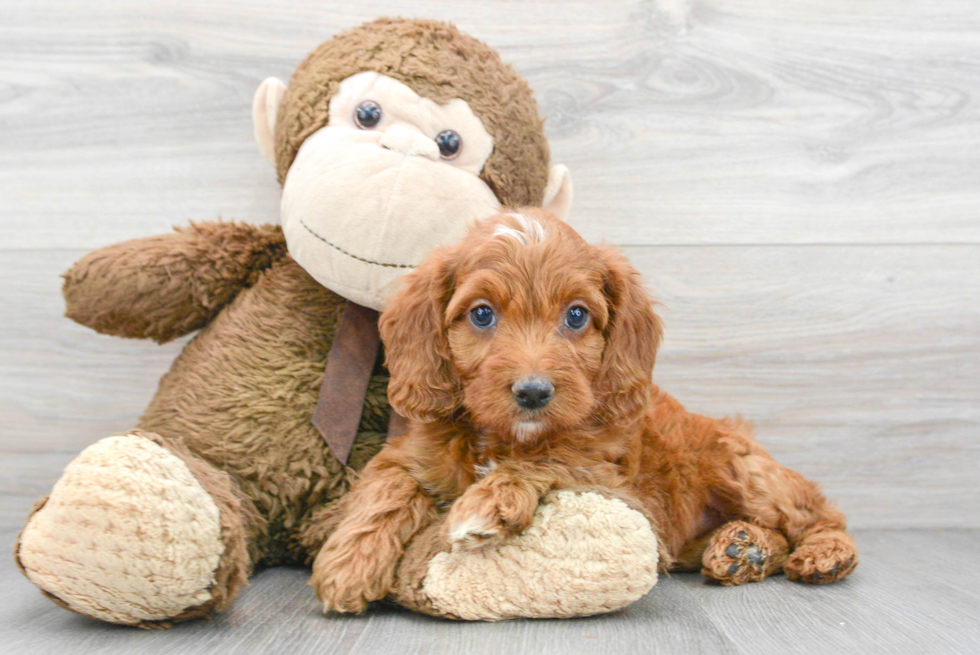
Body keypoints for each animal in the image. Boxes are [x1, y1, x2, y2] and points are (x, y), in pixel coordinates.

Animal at [310, 209, 852, 616]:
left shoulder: (608, 476)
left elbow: (546, 460)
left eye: (576, 315)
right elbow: (388, 484)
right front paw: (349, 563)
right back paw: (741, 549)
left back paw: (821, 553)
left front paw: (487, 501)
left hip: (740, 468)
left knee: (819, 514)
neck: (509, 434)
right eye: (482, 313)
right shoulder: (413, 452)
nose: (533, 392)